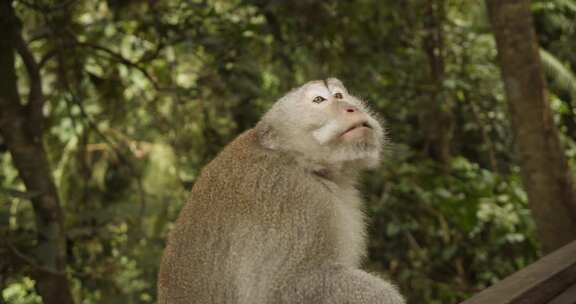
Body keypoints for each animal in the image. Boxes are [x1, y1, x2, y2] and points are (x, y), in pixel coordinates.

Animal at [158, 77, 404, 302]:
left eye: (339, 95)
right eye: (318, 100)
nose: (351, 108)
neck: (296, 159)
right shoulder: (296, 201)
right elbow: (286, 287)